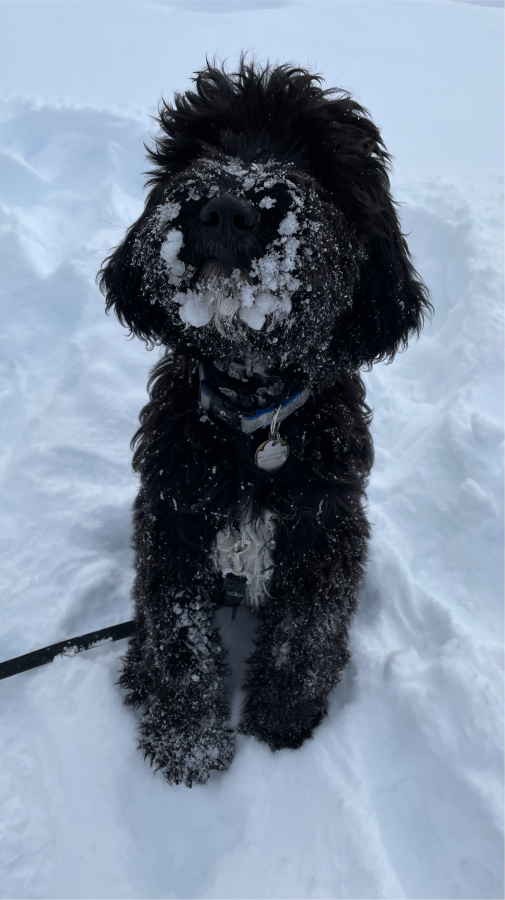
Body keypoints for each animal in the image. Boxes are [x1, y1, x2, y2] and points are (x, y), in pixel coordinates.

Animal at [98, 59, 430, 784]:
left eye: (315, 158)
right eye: (206, 140)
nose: (228, 207)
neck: (252, 424)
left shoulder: (323, 534)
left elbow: (302, 636)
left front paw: (280, 723)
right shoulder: (171, 525)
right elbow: (180, 640)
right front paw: (188, 744)